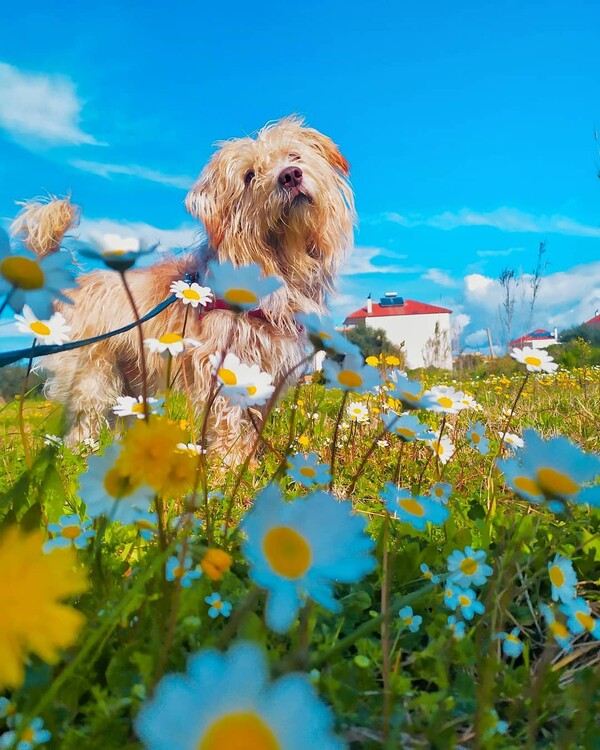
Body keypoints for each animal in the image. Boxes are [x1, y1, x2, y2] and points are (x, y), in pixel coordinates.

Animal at [34, 117, 352, 462]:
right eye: (249, 176)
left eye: (294, 155)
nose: (290, 175)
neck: (279, 262)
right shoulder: (222, 363)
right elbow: (229, 419)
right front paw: (228, 465)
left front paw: (250, 461)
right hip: (92, 375)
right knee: (83, 423)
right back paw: (80, 456)